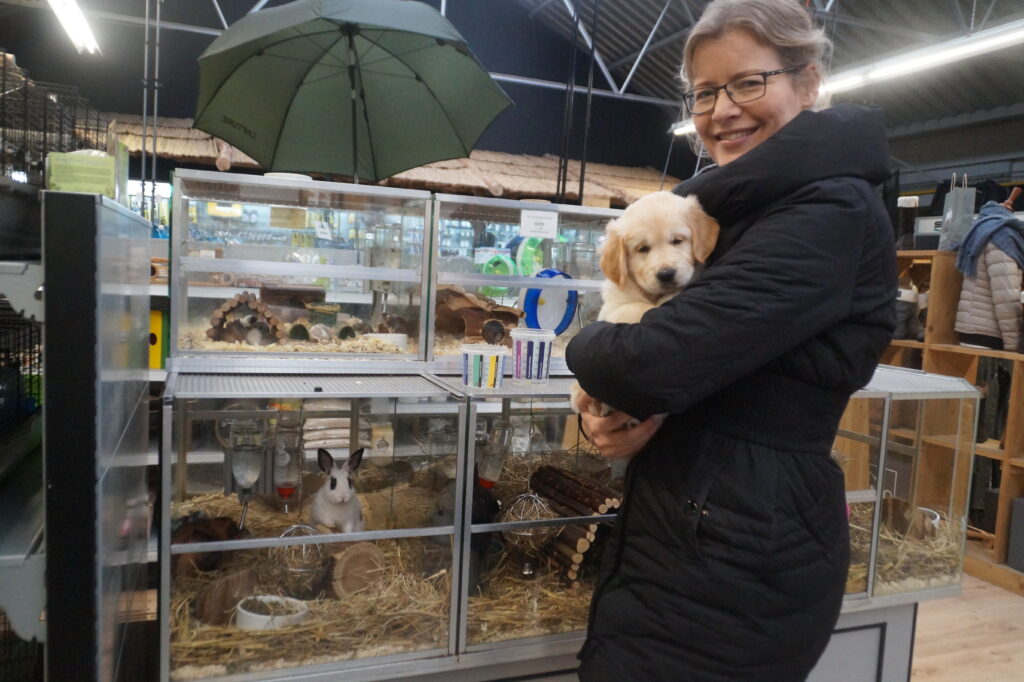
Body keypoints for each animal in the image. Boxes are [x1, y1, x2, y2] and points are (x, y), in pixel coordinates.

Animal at [571, 191, 719, 417]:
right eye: (642, 249)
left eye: (677, 240)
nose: (666, 274)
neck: (652, 294)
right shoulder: (613, 310)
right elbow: (639, 307)